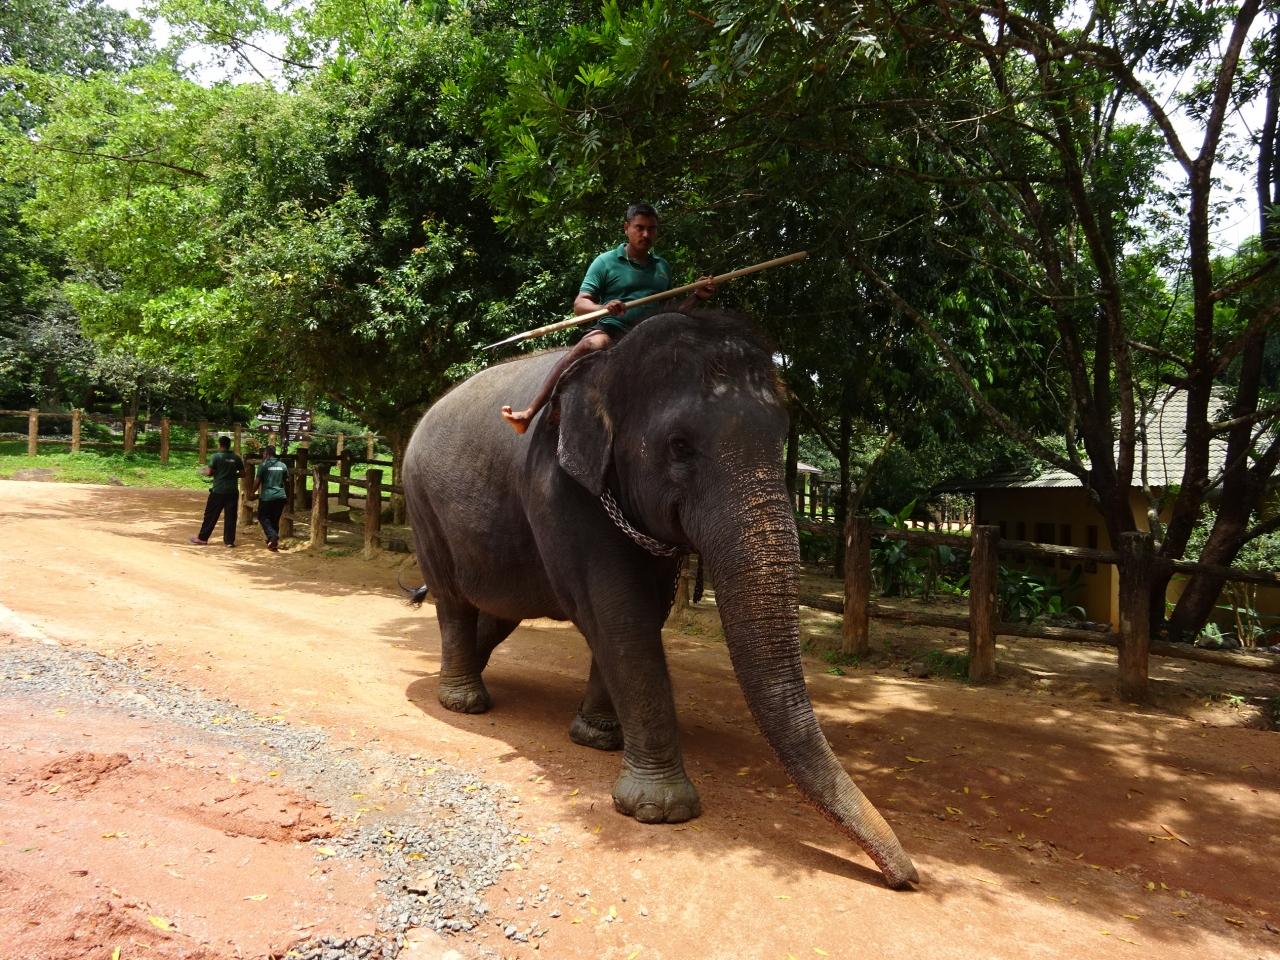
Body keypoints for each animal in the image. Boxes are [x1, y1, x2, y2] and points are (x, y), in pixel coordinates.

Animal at [404, 312, 916, 890]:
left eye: (783, 438)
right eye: (679, 446)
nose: (907, 878)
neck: (612, 366)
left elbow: (638, 612)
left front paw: (598, 738)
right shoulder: (558, 488)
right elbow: (618, 613)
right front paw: (661, 810)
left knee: (498, 609)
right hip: (422, 505)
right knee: (452, 600)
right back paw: (463, 701)